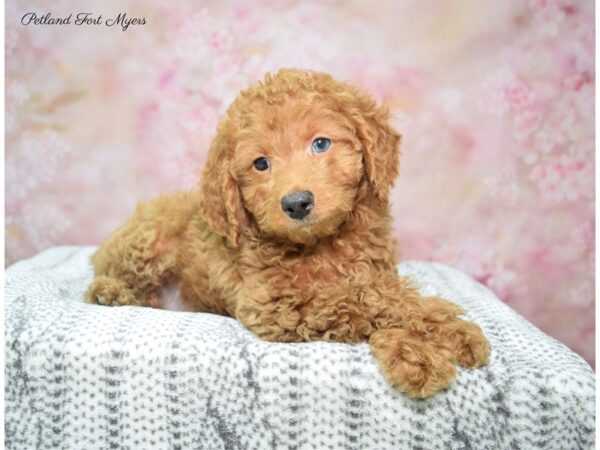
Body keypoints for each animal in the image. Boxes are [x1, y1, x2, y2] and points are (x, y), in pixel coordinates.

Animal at [86, 68, 490, 400]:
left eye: (321, 144)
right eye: (261, 163)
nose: (297, 203)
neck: (320, 244)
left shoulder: (375, 267)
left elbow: (374, 289)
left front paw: (432, 339)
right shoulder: (276, 304)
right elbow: (364, 298)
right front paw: (429, 340)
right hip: (148, 240)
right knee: (111, 278)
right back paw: (111, 293)